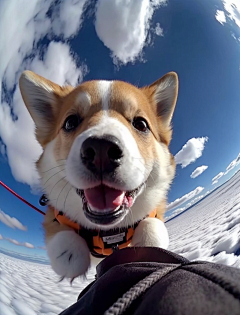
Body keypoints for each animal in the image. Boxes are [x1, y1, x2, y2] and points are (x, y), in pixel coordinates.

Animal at [19, 70, 178, 280]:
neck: (107, 232)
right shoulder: (54, 213)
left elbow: (153, 225)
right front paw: (69, 253)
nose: (101, 150)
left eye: (141, 124)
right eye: (70, 122)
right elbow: (62, 237)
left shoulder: (154, 211)